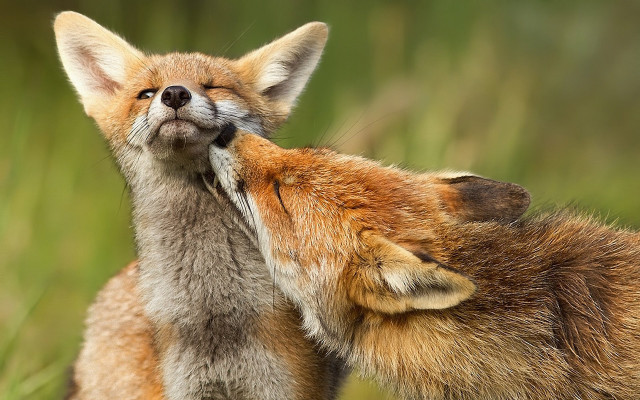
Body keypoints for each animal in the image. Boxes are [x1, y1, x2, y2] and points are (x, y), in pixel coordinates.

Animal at [54, 11, 347, 400]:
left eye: (212, 87)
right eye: (146, 93)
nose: (175, 93)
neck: (214, 313)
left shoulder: (286, 385)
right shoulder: (187, 387)